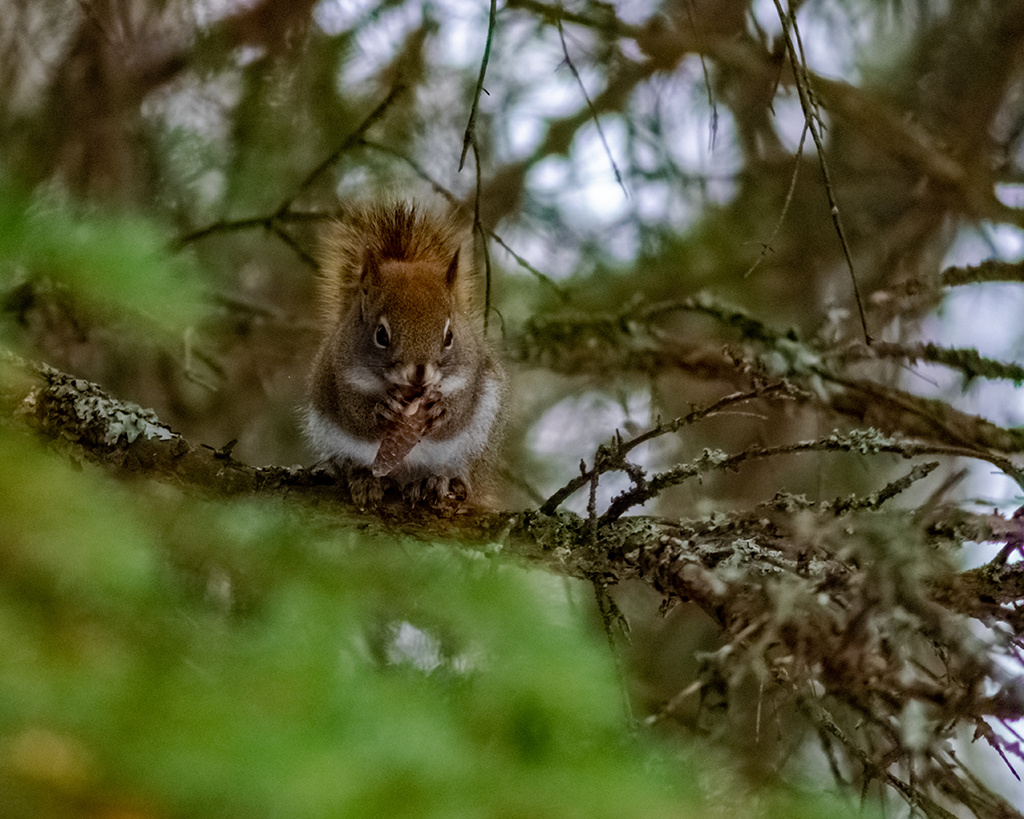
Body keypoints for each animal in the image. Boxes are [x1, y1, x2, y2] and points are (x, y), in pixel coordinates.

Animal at [304, 200, 506, 507]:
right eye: (381, 335)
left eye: (449, 336)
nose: (419, 374)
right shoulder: (339, 375)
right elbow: (354, 412)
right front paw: (382, 408)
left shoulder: (473, 372)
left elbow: (460, 409)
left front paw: (443, 408)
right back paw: (363, 479)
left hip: (474, 445)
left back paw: (437, 481)